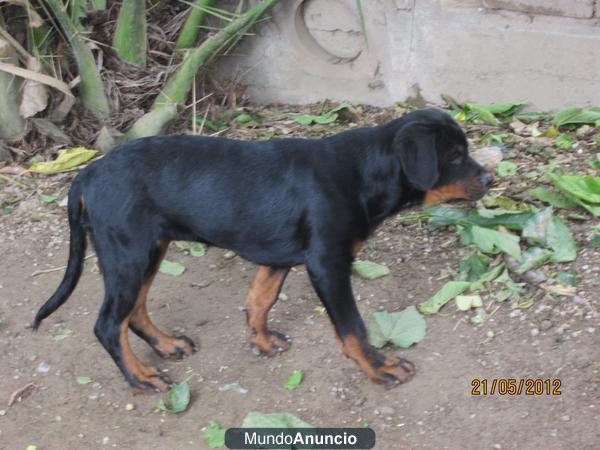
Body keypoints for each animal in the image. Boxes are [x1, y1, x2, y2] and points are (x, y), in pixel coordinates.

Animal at [32, 108, 490, 390]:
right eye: (455, 155)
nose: (489, 180)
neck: (363, 171)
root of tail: (88, 173)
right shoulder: (328, 263)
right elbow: (352, 328)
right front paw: (380, 367)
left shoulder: (278, 257)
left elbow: (259, 300)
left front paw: (262, 341)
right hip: (128, 253)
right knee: (109, 323)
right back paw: (141, 378)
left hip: (147, 249)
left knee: (136, 310)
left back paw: (166, 346)